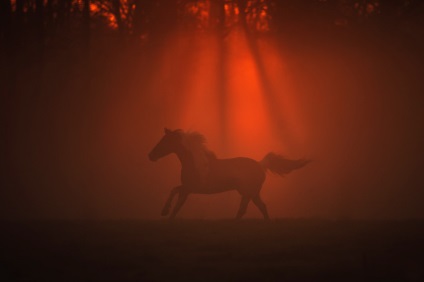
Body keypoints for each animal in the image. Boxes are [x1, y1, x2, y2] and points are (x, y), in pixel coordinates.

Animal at [149, 128, 308, 220]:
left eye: (165, 141)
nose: (151, 155)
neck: (195, 163)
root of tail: (260, 164)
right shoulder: (187, 189)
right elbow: (176, 204)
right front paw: (167, 214)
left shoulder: (190, 187)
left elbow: (174, 194)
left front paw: (164, 211)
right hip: (252, 193)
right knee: (258, 207)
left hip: (248, 192)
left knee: (246, 209)